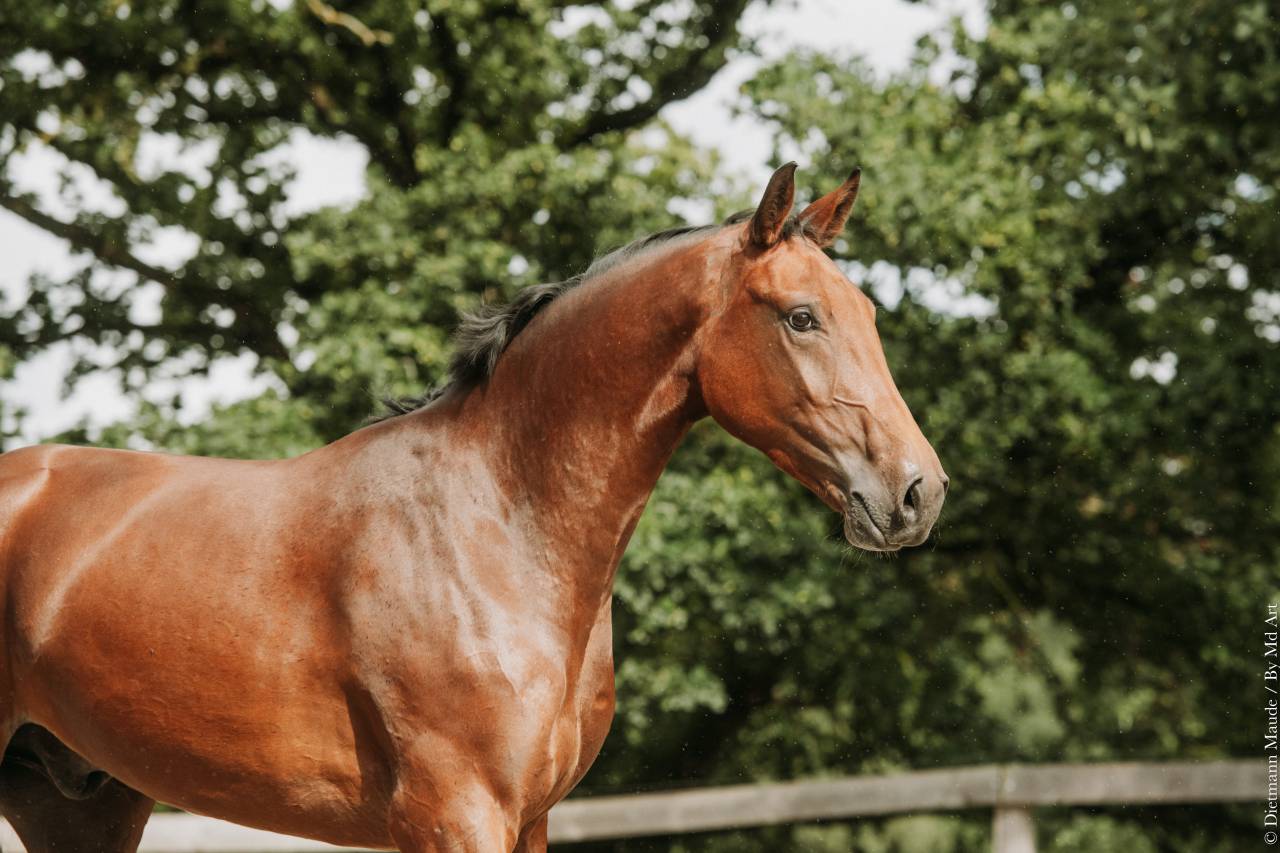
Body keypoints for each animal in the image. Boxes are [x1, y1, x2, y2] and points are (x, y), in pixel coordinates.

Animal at [0, 163, 946, 852]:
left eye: (867, 311)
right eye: (801, 317)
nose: (916, 491)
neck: (496, 524)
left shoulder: (530, 817)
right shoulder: (459, 813)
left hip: (80, 805)